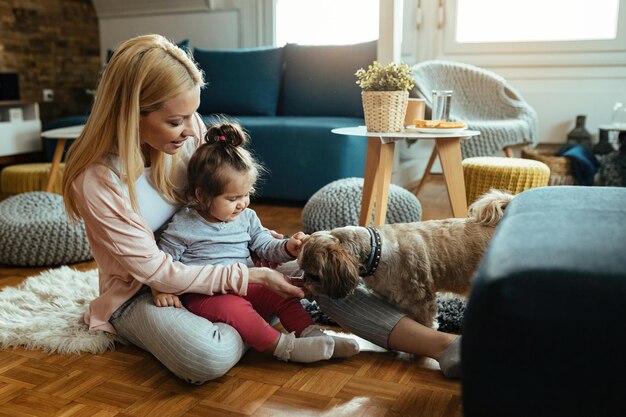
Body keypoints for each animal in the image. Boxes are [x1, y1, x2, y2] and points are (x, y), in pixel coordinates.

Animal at [298, 188, 512, 328]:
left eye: (315, 276)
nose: (304, 283)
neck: (377, 251)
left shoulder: (421, 301)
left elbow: (424, 325)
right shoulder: (394, 299)